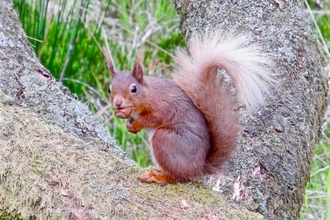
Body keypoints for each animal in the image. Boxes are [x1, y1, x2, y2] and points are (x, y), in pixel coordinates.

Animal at [106, 31, 274, 184]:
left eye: (133, 89)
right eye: (109, 89)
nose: (118, 103)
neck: (148, 93)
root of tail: (199, 167)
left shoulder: (162, 105)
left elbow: (154, 118)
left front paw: (136, 124)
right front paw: (129, 125)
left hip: (165, 140)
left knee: (176, 177)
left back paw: (157, 176)